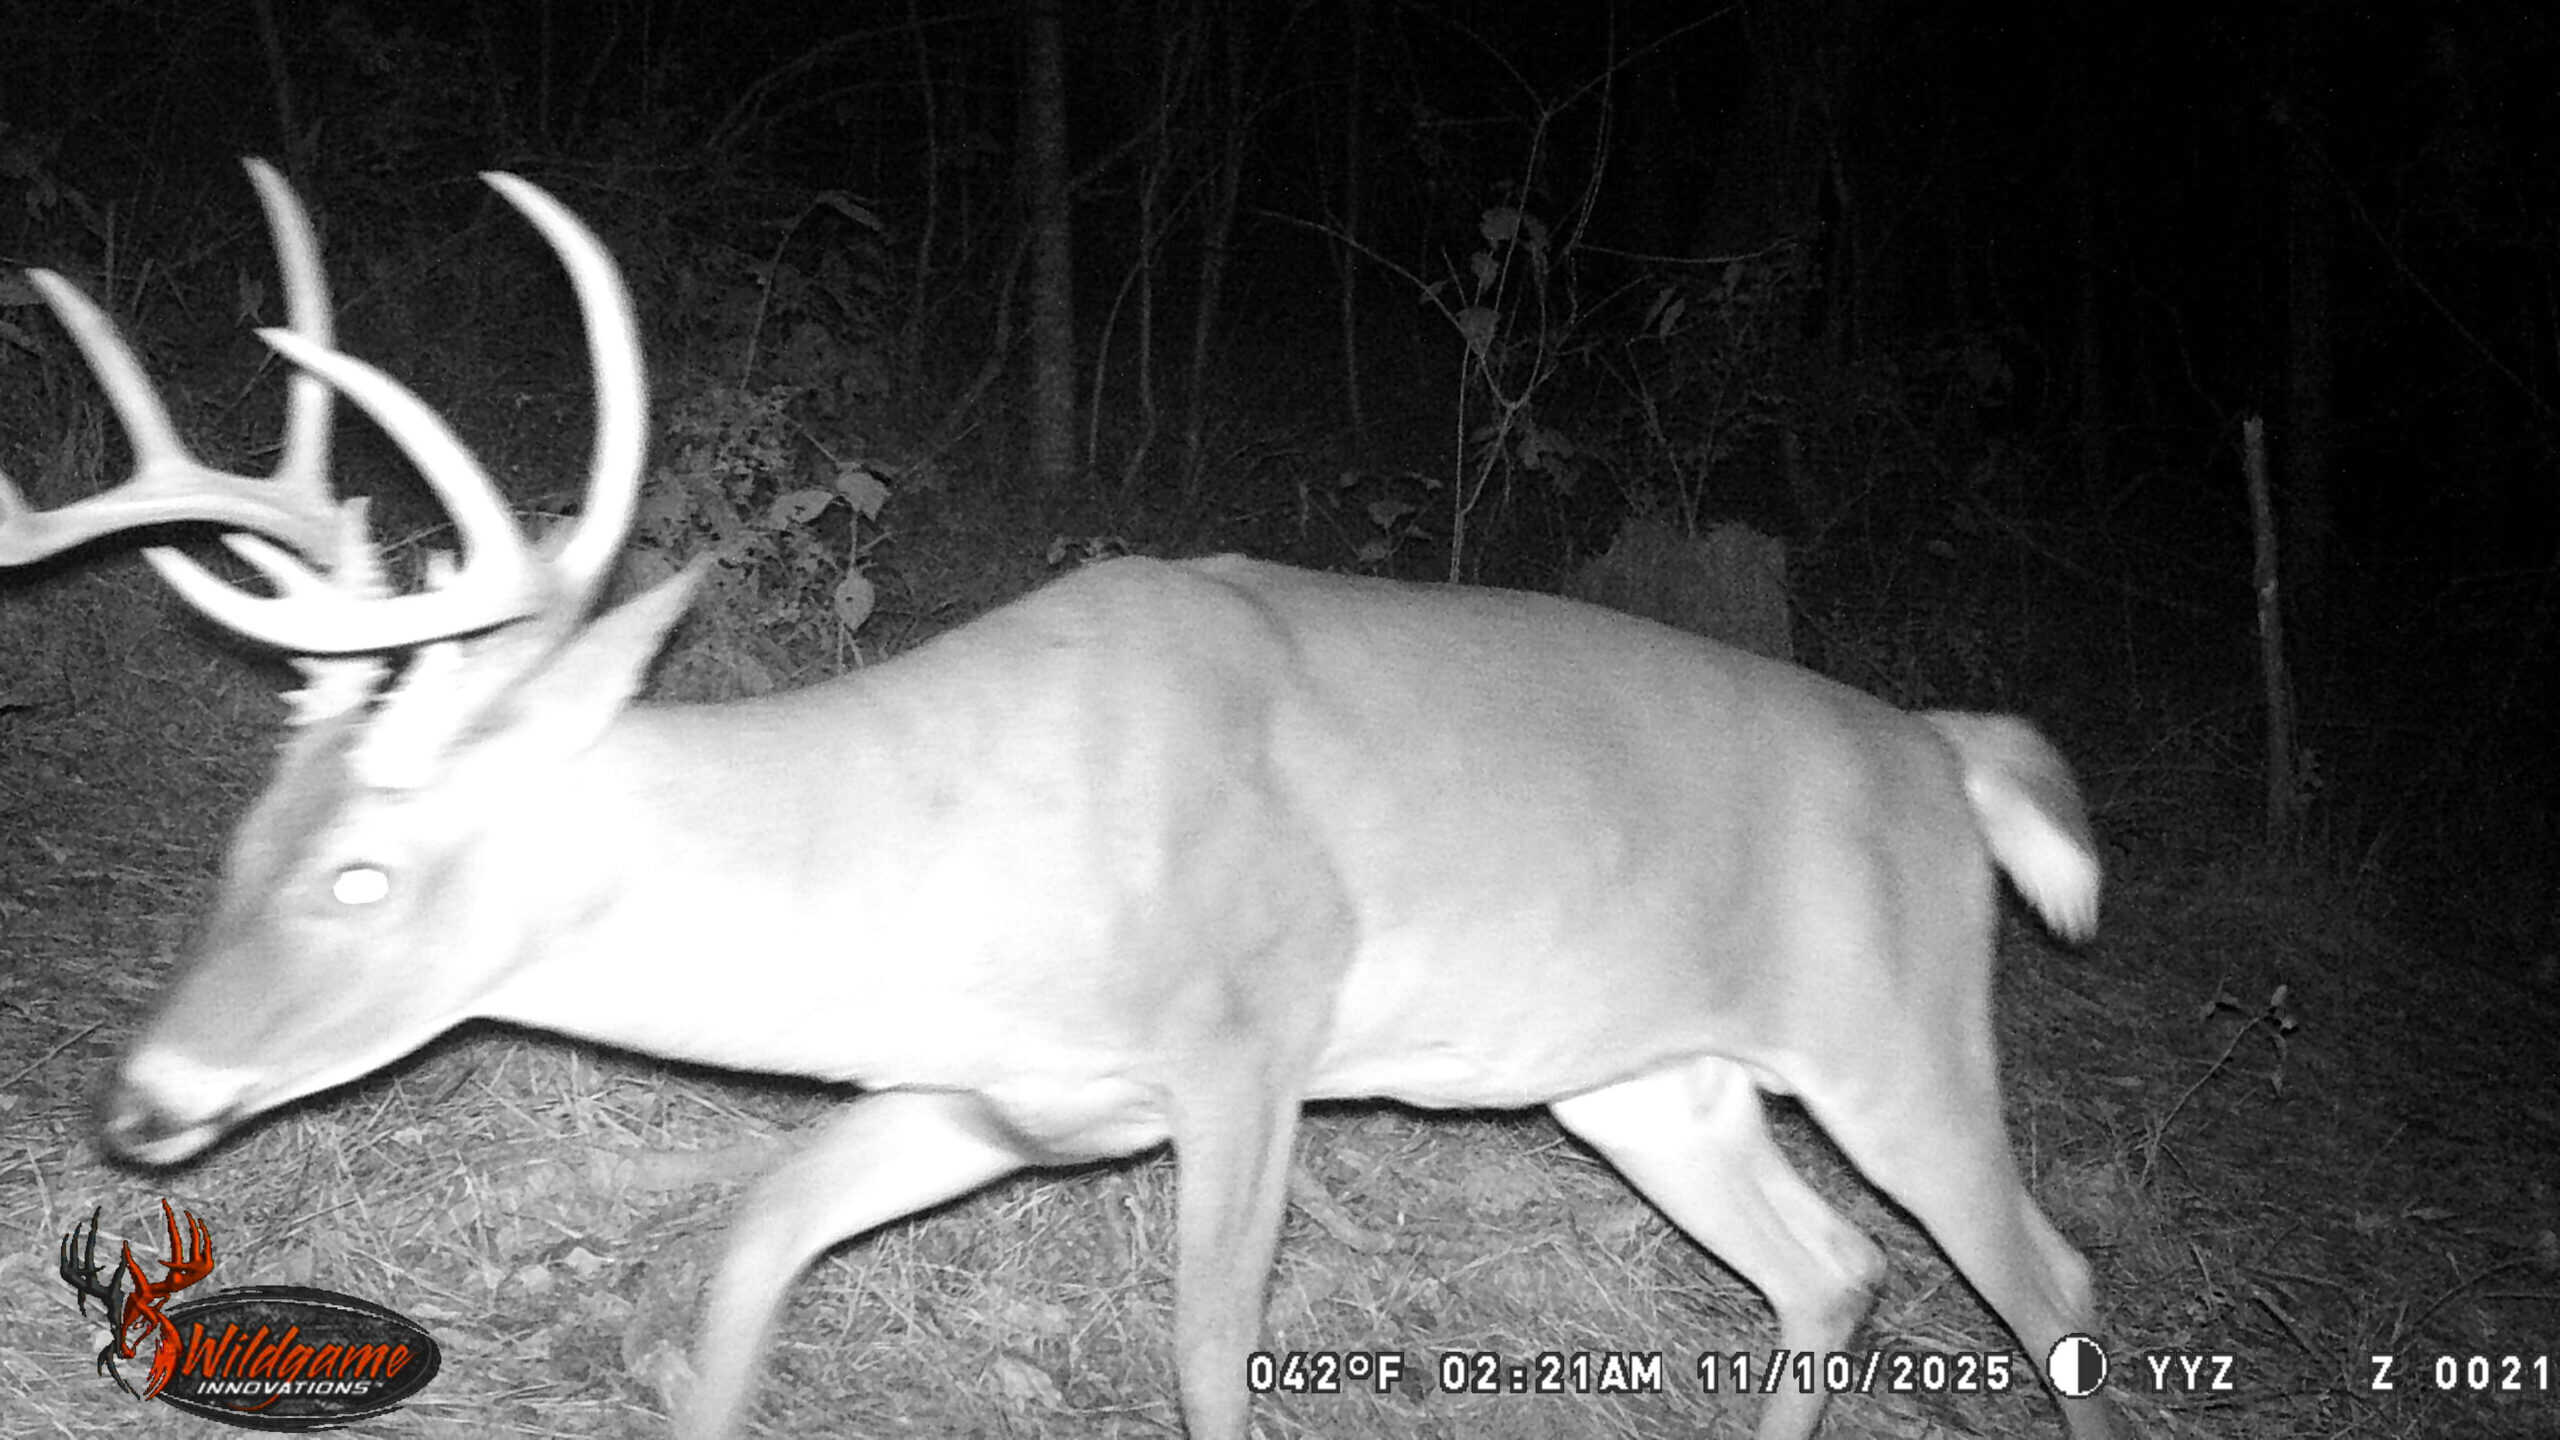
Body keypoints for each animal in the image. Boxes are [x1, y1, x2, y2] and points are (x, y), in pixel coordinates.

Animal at [1, 161, 2125, 1440]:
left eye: (362, 875)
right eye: (240, 846)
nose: (140, 1102)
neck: (939, 864)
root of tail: (1942, 753)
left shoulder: (1252, 1036)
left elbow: (1206, 1353)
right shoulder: (991, 1093)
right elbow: (758, 1241)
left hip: (1897, 1031)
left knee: (2048, 1275)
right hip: (1640, 1080)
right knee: (1835, 1268)